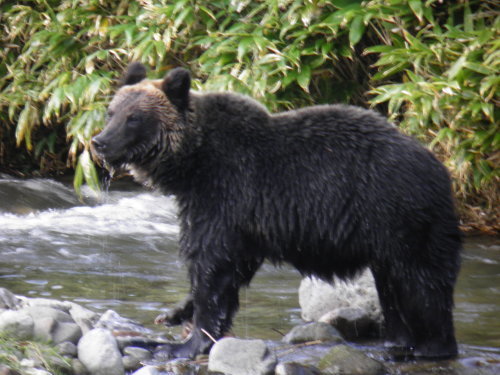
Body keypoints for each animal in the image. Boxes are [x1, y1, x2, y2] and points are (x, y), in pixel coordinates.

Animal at [91, 62, 460, 362]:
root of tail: (442, 169)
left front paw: (182, 343)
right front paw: (174, 313)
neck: (192, 163)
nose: (99, 142)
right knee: (394, 291)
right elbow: (232, 266)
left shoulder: (226, 192)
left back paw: (430, 348)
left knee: (421, 287)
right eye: (111, 111)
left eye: (134, 118)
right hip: (387, 238)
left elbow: (211, 263)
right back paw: (397, 342)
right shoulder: (243, 220)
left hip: (400, 216)